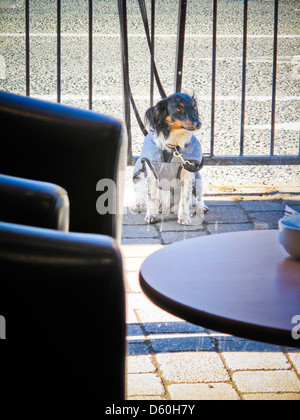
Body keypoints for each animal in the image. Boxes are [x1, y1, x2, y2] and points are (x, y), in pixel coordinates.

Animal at [132, 91, 207, 225]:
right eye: (178, 108)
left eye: (194, 107)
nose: (198, 123)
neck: (173, 146)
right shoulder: (150, 173)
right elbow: (152, 198)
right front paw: (151, 215)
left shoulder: (188, 173)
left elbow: (184, 198)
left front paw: (184, 217)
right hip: (139, 179)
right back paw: (138, 206)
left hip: (198, 180)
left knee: (197, 199)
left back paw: (200, 207)